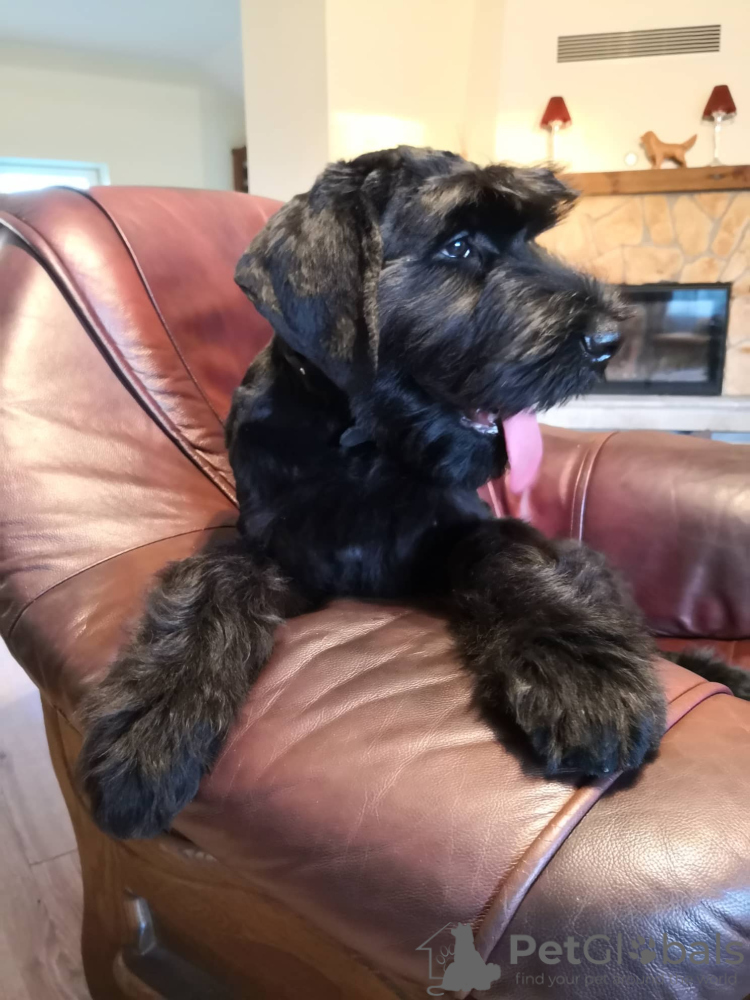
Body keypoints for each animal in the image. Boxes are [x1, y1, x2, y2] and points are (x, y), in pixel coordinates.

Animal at [78, 146, 749, 839]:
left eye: (530, 238)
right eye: (457, 245)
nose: (610, 341)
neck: (361, 446)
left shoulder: (466, 528)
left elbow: (511, 552)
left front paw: (583, 677)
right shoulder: (280, 550)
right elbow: (215, 572)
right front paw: (153, 724)